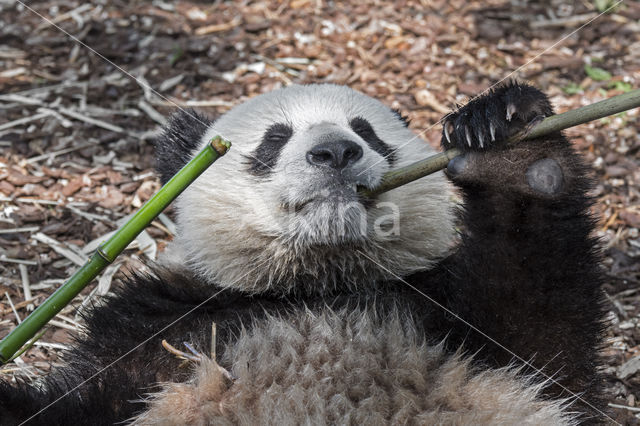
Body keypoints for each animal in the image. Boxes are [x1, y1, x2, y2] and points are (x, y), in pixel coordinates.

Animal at [0, 81, 604, 424]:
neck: (314, 284)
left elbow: (543, 342)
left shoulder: (449, 320)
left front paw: (512, 143)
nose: (335, 151)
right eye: (274, 139)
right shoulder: (150, 334)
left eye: (366, 132)